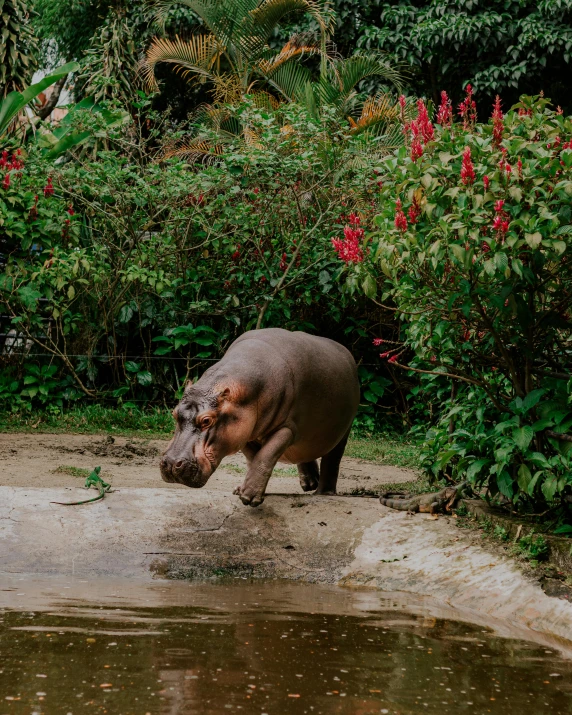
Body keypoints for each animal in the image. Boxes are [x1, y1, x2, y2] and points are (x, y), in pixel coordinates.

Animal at [160, 328, 358, 506]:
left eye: (207, 420)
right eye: (174, 413)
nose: (170, 463)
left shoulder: (286, 428)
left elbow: (265, 456)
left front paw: (248, 497)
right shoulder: (244, 434)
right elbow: (254, 459)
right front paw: (242, 490)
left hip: (342, 431)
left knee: (332, 460)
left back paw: (323, 493)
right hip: (307, 435)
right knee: (305, 453)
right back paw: (309, 484)